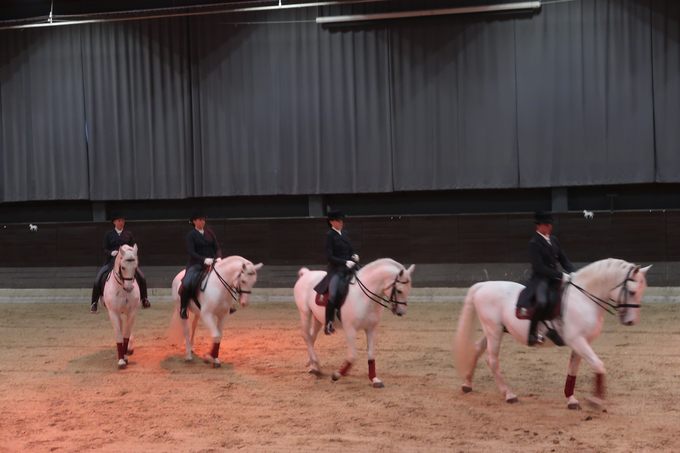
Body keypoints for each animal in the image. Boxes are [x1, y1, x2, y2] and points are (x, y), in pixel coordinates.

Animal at [454, 258, 652, 410]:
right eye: (632, 291)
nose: (630, 321)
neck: (583, 298)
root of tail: (483, 285)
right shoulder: (577, 341)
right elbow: (599, 365)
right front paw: (596, 400)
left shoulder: (581, 342)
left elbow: (573, 371)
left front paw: (572, 399)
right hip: (493, 330)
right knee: (492, 359)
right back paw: (509, 394)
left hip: (495, 330)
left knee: (477, 348)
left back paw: (467, 384)